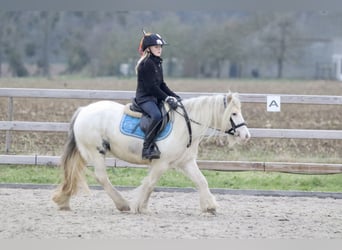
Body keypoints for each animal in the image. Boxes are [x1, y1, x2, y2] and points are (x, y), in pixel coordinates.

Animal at [52, 92, 250, 213]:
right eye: (233, 113)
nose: (246, 135)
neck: (185, 126)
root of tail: (83, 110)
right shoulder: (161, 163)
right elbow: (150, 182)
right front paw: (139, 205)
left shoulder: (185, 162)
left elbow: (201, 181)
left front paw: (210, 207)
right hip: (96, 151)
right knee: (101, 177)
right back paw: (122, 204)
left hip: (86, 152)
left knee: (73, 173)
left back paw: (64, 201)